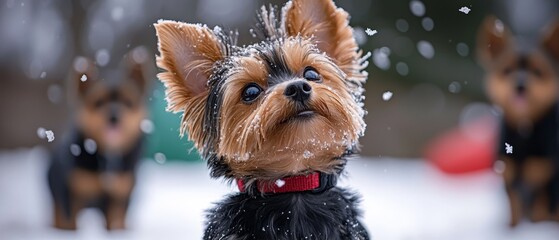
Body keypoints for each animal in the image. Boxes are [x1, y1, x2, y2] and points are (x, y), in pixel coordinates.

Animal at [47, 46, 153, 230]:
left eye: (128, 102)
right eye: (99, 102)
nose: (114, 116)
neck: (107, 154)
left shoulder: (119, 195)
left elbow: (116, 221)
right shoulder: (71, 193)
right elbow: (70, 223)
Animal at [476, 15, 559, 226]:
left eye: (537, 72)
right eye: (507, 70)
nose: (520, 85)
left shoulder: (546, 178)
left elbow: (540, 213)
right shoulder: (509, 176)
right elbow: (514, 211)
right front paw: (512, 229)